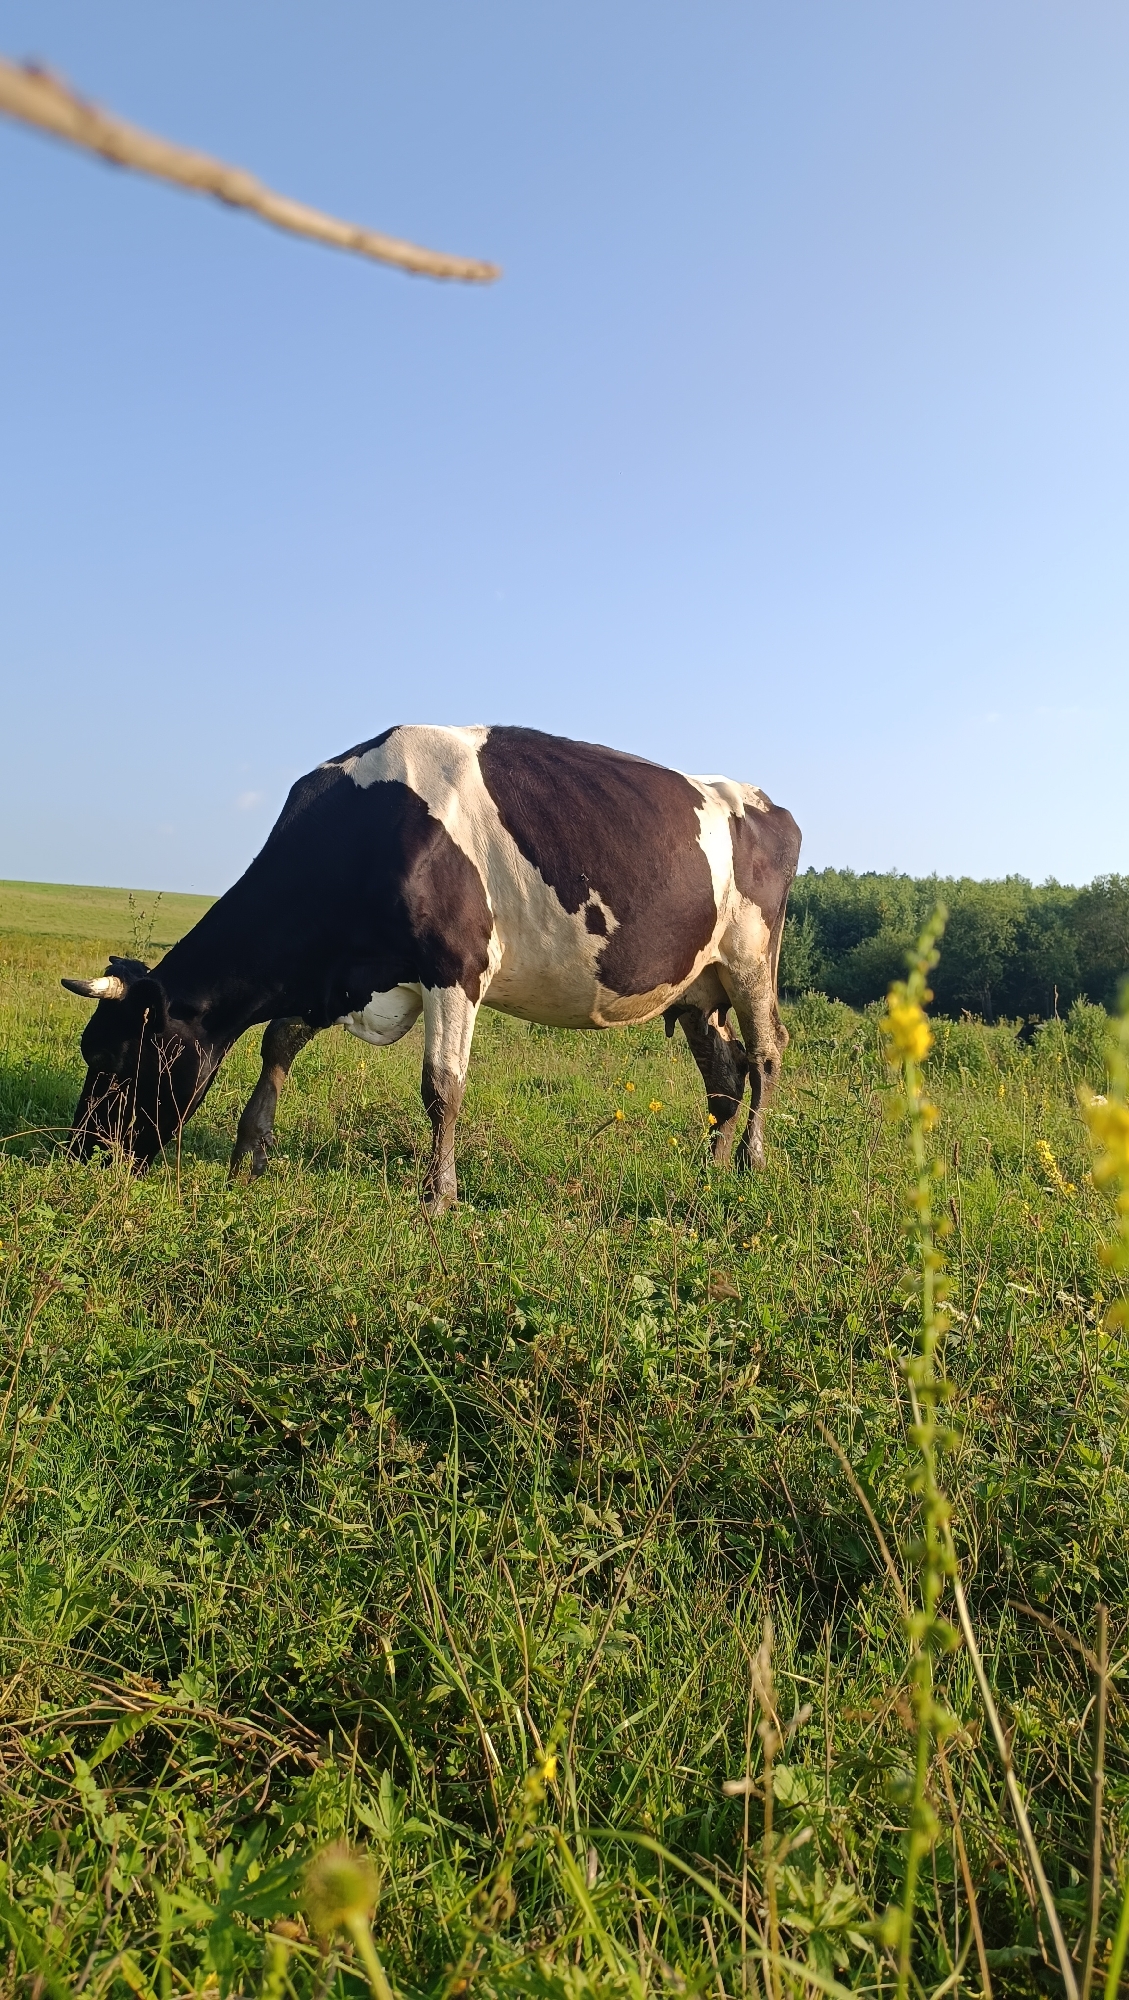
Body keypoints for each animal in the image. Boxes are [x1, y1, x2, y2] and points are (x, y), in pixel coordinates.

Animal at [63, 725, 801, 1210]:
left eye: (116, 1058)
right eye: (89, 1050)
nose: (79, 1155)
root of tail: (763, 802)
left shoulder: (456, 965)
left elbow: (441, 1086)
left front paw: (437, 1196)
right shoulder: (346, 975)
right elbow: (277, 1043)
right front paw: (250, 1152)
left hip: (750, 960)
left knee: (765, 1055)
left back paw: (749, 1162)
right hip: (698, 988)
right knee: (724, 1075)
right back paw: (709, 1165)